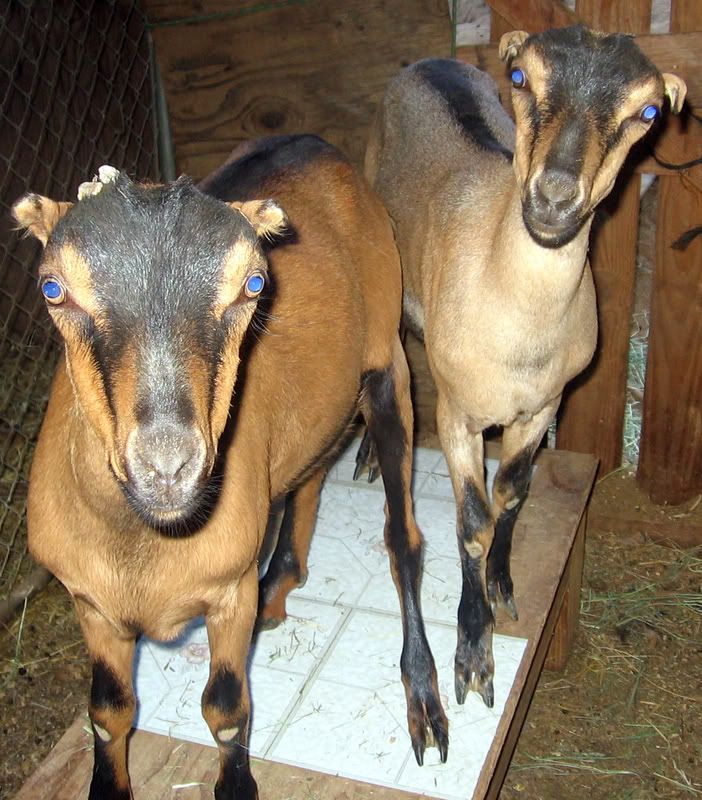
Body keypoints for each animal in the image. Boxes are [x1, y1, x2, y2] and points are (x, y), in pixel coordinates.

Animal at [13, 134, 448, 800]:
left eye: (253, 282)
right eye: (52, 289)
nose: (168, 465)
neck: (145, 544)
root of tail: (316, 145)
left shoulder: (227, 591)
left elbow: (226, 708)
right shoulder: (92, 604)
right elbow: (109, 712)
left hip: (386, 361)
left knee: (404, 538)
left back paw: (423, 699)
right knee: (310, 472)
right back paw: (282, 580)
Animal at [356, 26, 686, 707]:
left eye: (647, 112)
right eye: (519, 78)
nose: (555, 196)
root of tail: (430, 61)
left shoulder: (543, 407)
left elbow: (512, 494)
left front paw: (502, 583)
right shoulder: (458, 415)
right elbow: (472, 521)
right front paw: (472, 652)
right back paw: (372, 454)